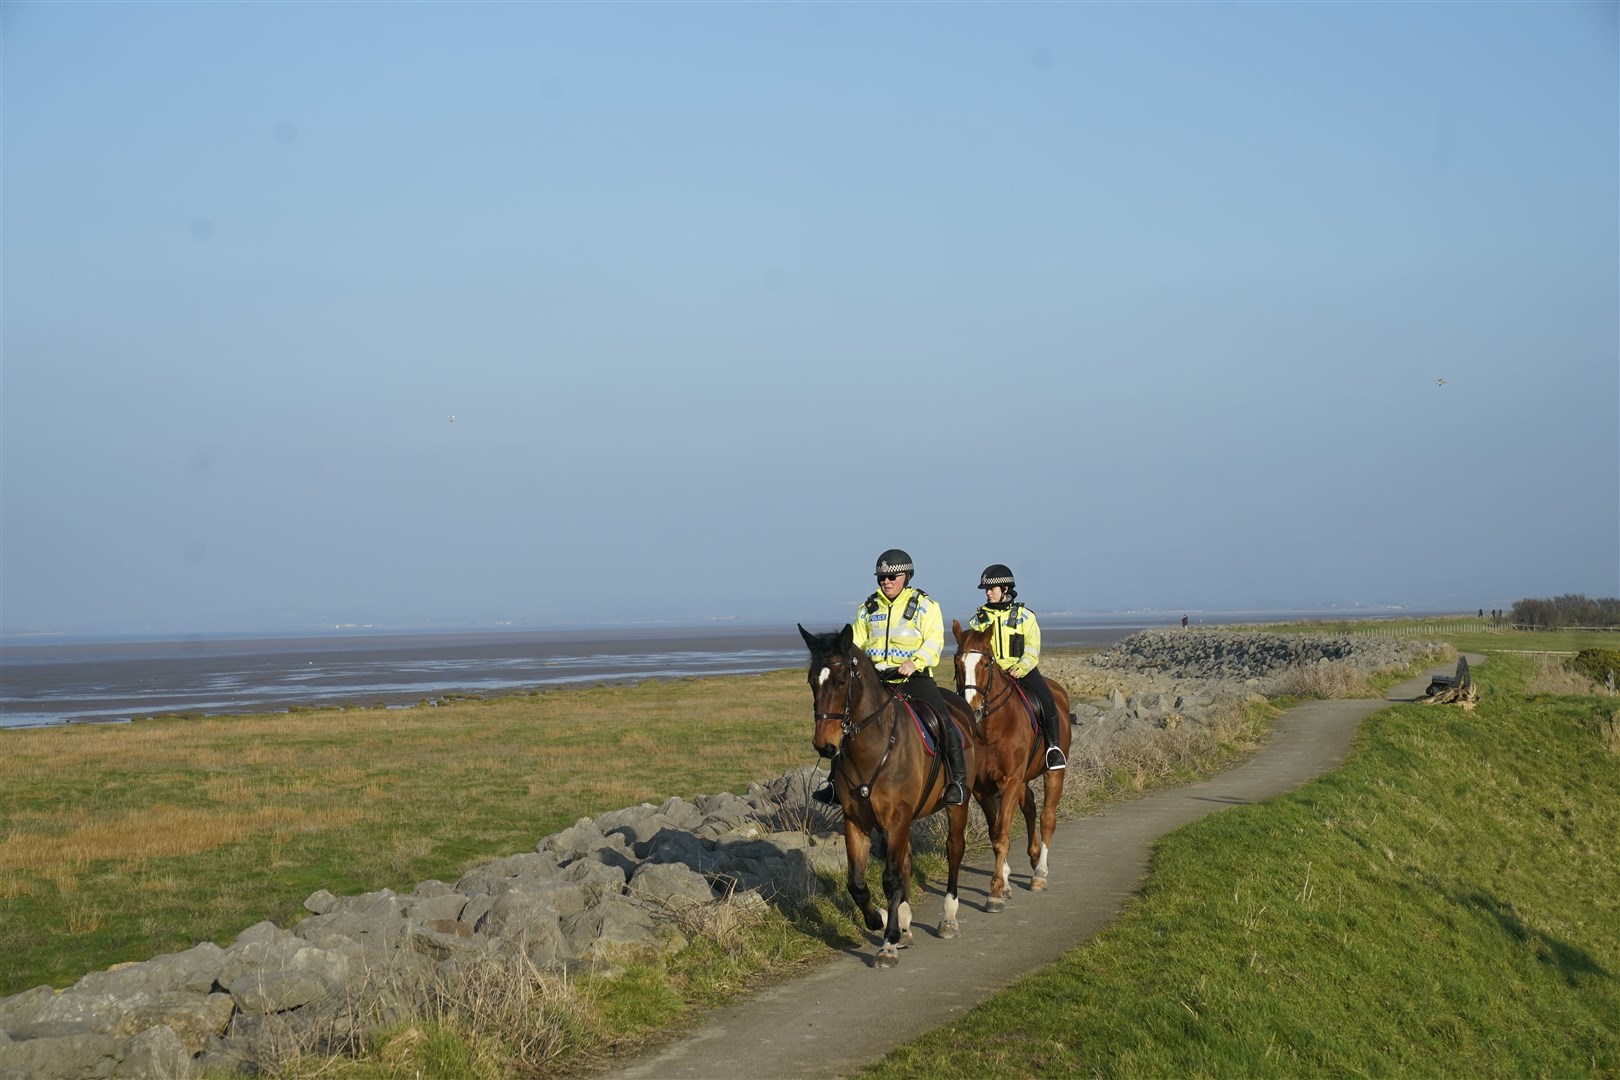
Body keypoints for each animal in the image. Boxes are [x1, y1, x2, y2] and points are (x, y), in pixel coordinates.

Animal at [793, 625, 978, 971]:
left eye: (841, 681)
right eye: (812, 681)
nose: (825, 745)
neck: (874, 745)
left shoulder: (896, 818)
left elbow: (890, 879)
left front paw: (887, 943)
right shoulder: (857, 821)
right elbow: (857, 883)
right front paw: (879, 920)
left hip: (957, 805)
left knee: (954, 849)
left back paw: (947, 918)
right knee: (906, 859)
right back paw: (905, 925)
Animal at [946, 621, 1075, 906]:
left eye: (986, 663)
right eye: (957, 662)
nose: (972, 709)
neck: (990, 730)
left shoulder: (1011, 781)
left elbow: (1003, 834)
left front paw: (995, 890)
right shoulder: (983, 788)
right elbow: (996, 833)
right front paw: (1003, 882)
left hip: (1053, 772)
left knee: (1047, 817)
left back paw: (1040, 873)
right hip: (1023, 779)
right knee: (1030, 807)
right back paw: (1034, 856)